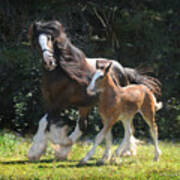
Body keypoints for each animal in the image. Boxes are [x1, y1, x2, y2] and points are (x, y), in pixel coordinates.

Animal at [27, 20, 162, 161]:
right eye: (36, 42)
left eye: (51, 38)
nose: (49, 62)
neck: (58, 74)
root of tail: (123, 69)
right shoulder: (50, 102)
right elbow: (46, 122)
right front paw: (57, 147)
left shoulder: (59, 102)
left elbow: (44, 122)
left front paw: (36, 151)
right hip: (86, 105)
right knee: (84, 126)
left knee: (127, 128)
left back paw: (125, 152)